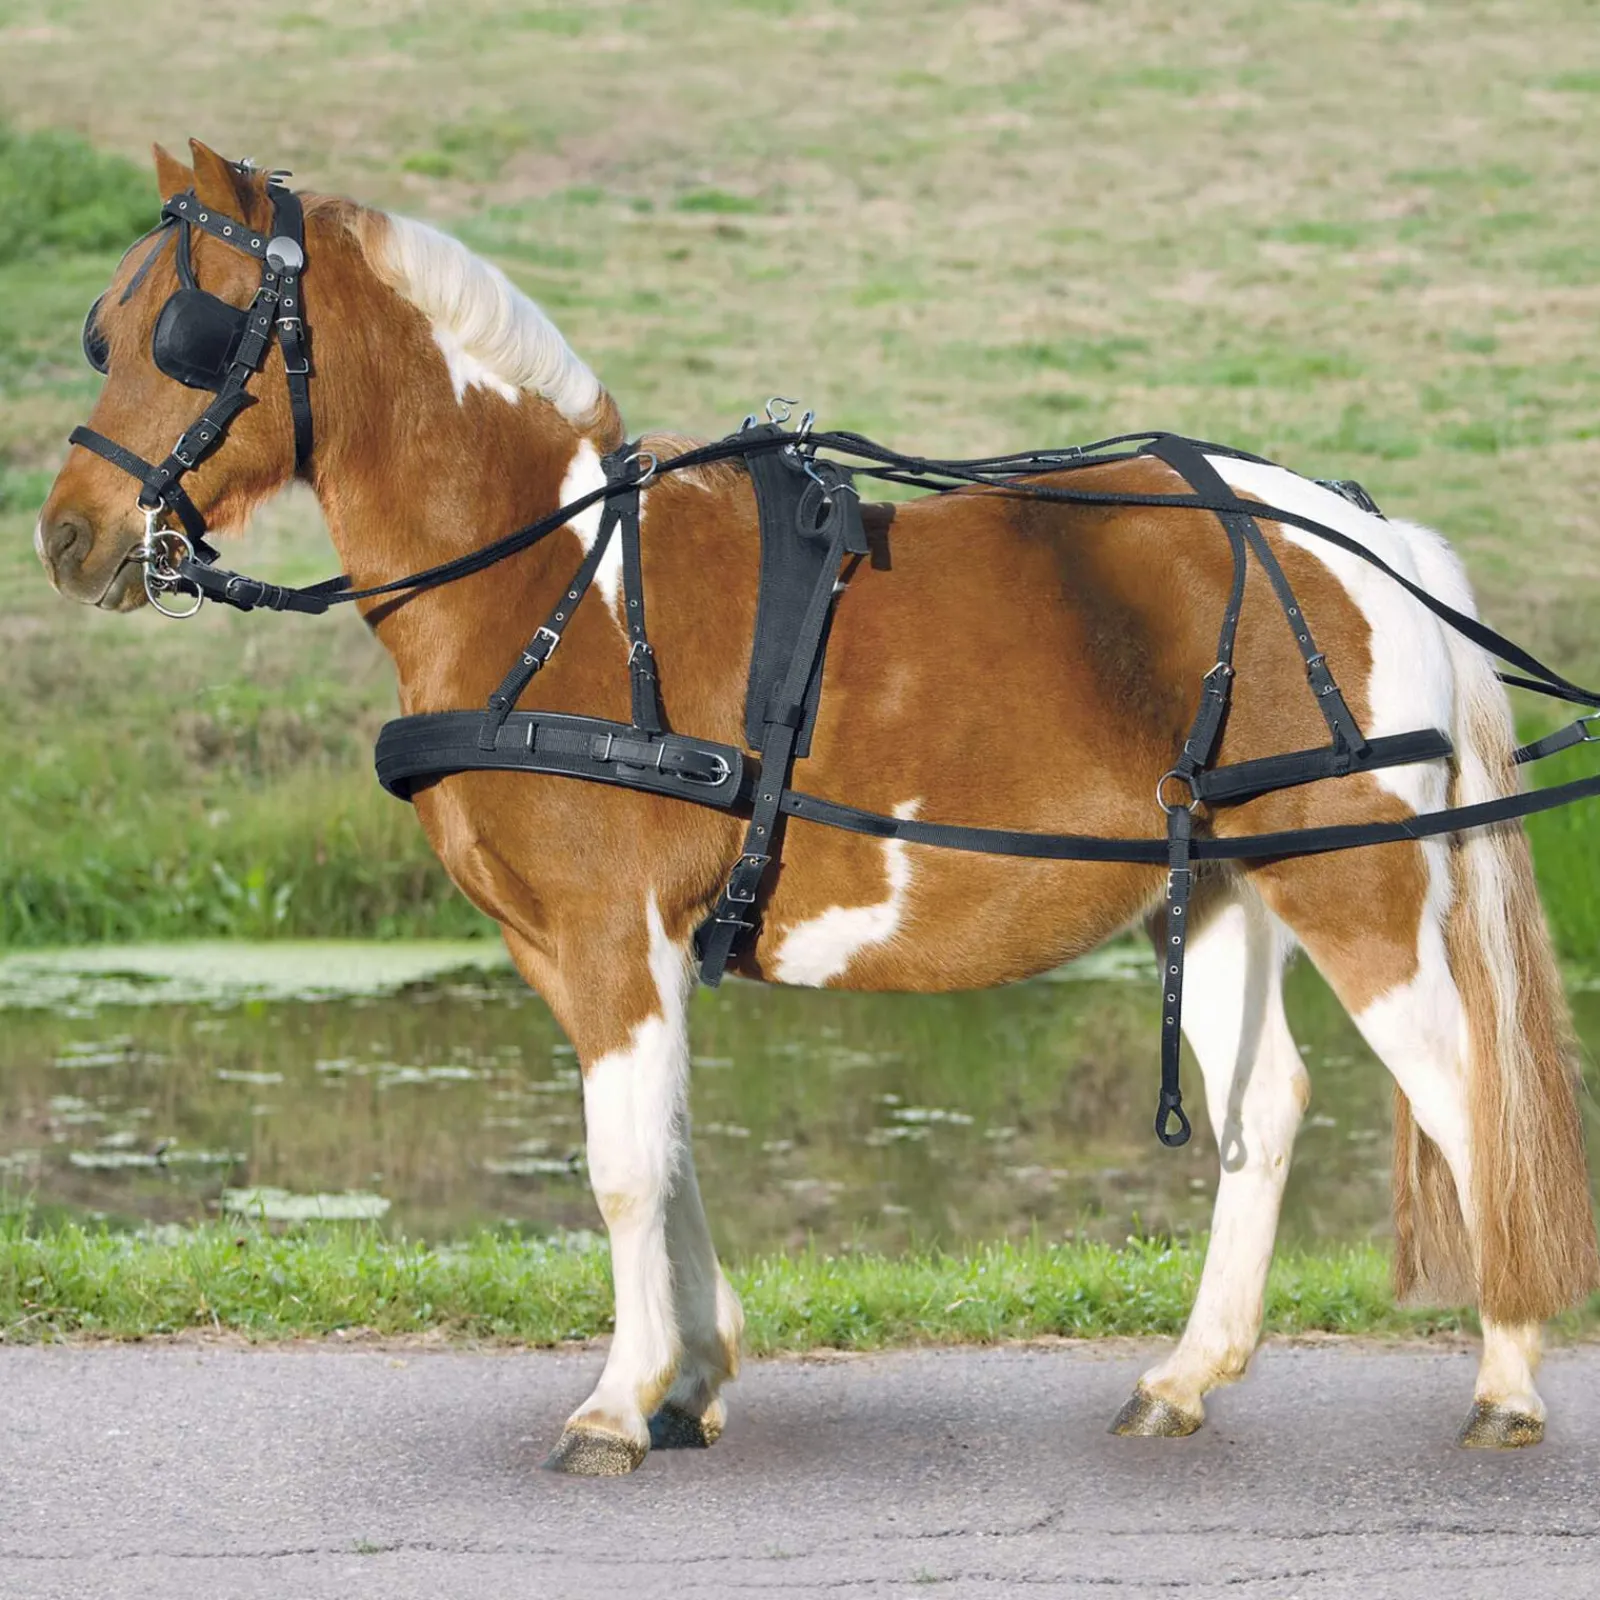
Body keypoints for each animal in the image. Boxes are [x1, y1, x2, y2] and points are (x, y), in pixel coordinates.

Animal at [36, 139, 1598, 1475]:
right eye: (106, 331)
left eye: (192, 332)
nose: (68, 537)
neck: (552, 580)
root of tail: (1371, 537)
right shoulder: (604, 949)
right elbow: (665, 1149)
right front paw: (691, 1377)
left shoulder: (607, 934)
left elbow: (618, 1167)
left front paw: (616, 1401)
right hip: (1222, 883)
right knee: (1262, 1110)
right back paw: (1184, 1377)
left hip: (1356, 887)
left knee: (1466, 1093)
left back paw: (1508, 1377)